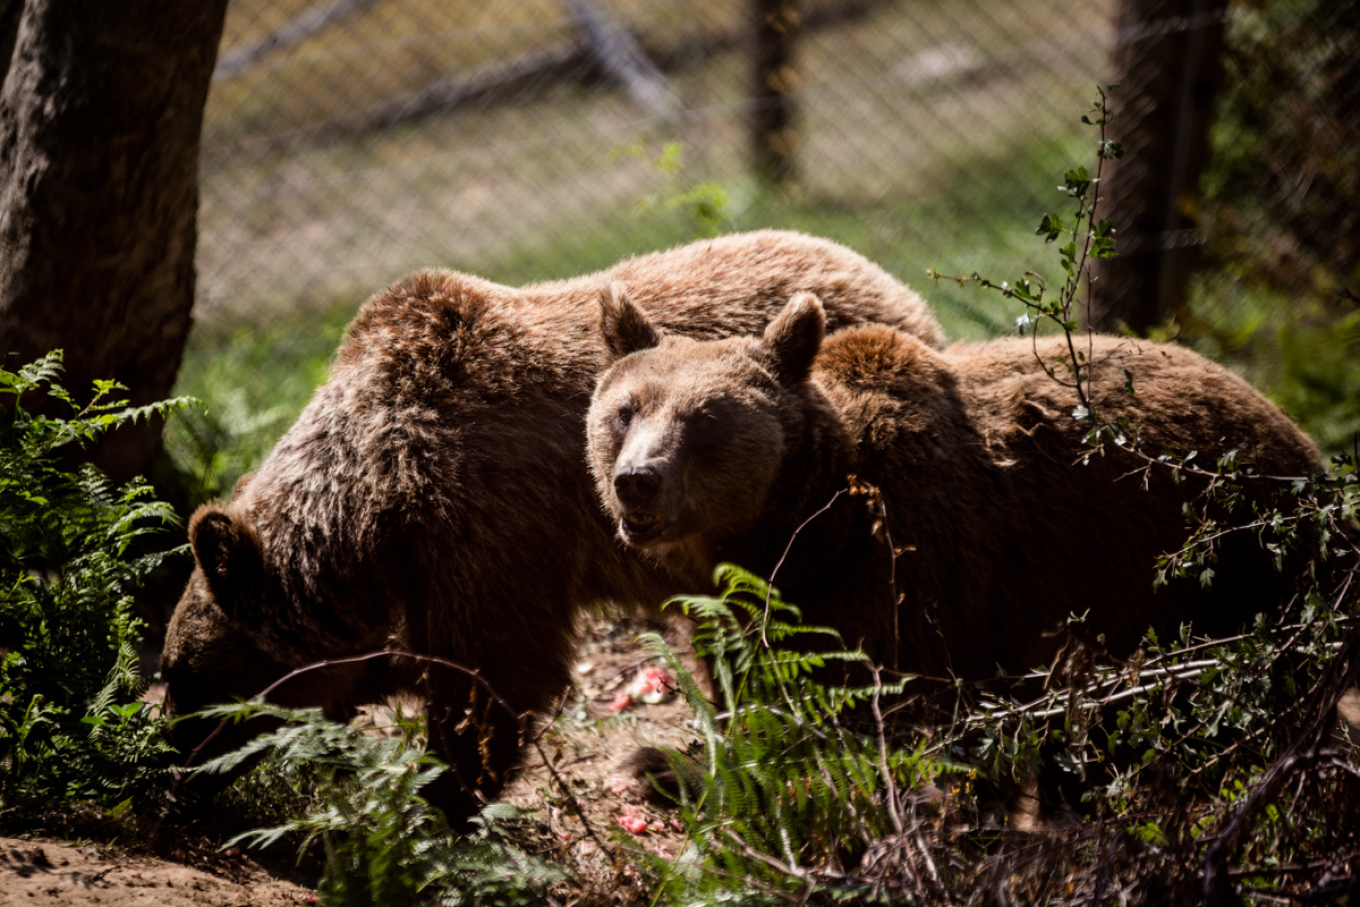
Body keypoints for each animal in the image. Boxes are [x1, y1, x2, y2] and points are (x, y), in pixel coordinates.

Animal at [159, 230, 944, 822]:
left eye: (182, 674)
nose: (172, 771)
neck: (380, 493)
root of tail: (889, 283)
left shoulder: (487, 519)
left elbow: (495, 673)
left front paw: (438, 796)